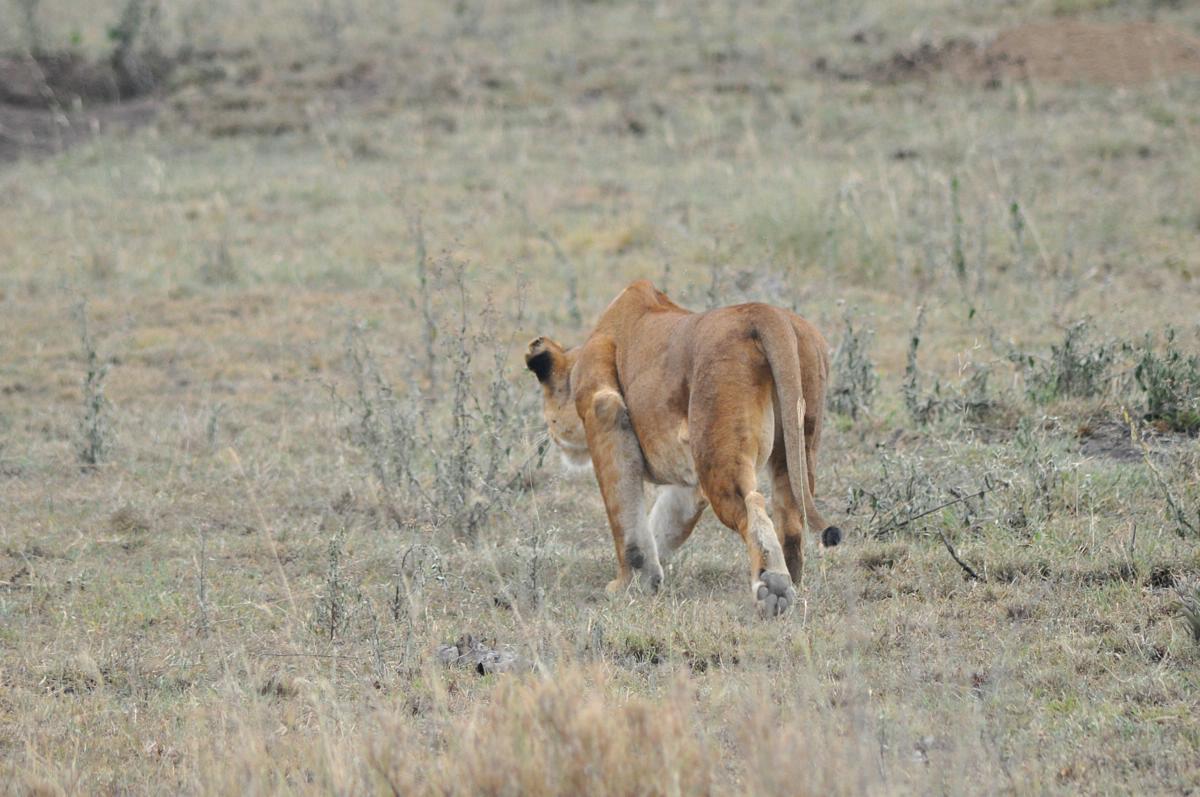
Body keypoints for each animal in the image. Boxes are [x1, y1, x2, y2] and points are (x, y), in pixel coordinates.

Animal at [525, 280, 841, 617]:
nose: (550, 432)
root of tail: (764, 312)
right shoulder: (690, 477)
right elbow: (663, 522)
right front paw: (650, 576)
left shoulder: (604, 411)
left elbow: (626, 517)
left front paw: (629, 584)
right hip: (793, 446)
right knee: (791, 518)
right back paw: (793, 584)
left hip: (719, 453)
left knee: (752, 506)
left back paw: (773, 588)